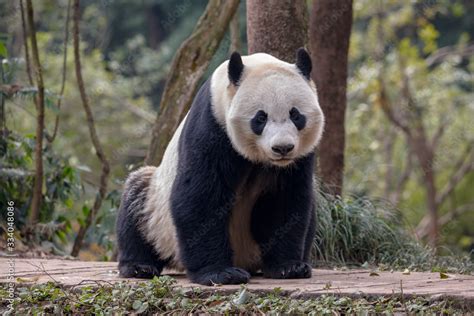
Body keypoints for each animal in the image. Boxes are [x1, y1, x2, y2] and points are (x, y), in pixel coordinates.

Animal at [117, 47, 326, 286]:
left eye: (296, 115)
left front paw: (287, 267)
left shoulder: (298, 159)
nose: (283, 148)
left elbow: (285, 201)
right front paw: (220, 273)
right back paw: (138, 266)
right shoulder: (212, 124)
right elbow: (200, 195)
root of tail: (245, 259)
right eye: (260, 118)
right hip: (157, 214)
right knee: (137, 200)